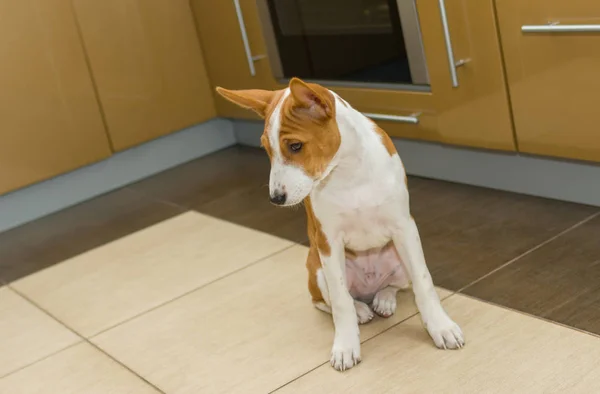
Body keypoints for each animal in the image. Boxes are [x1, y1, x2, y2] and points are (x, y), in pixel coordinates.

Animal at [216, 78, 464, 370]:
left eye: (295, 146)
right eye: (267, 149)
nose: (275, 198)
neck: (347, 172)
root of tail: (368, 288)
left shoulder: (405, 229)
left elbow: (423, 284)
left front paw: (441, 327)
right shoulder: (328, 241)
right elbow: (341, 301)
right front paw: (346, 346)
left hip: (398, 256)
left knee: (395, 285)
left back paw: (383, 299)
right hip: (318, 271)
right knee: (328, 301)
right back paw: (361, 309)